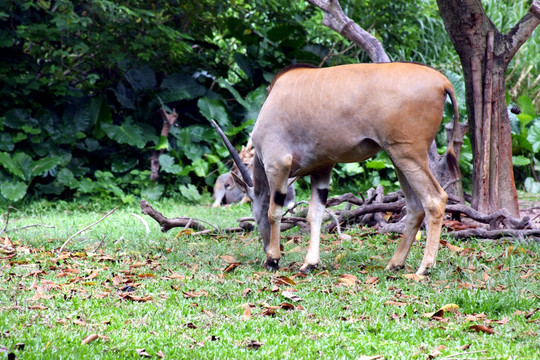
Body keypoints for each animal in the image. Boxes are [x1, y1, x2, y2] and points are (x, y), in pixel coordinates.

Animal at [213, 62, 458, 276]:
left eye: (252, 205)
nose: (265, 246)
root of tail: (442, 82)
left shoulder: (277, 165)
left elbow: (274, 212)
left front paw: (272, 259)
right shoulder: (322, 168)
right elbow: (315, 214)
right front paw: (310, 263)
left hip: (407, 155)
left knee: (435, 199)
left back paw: (424, 267)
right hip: (398, 158)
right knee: (415, 206)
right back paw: (395, 263)